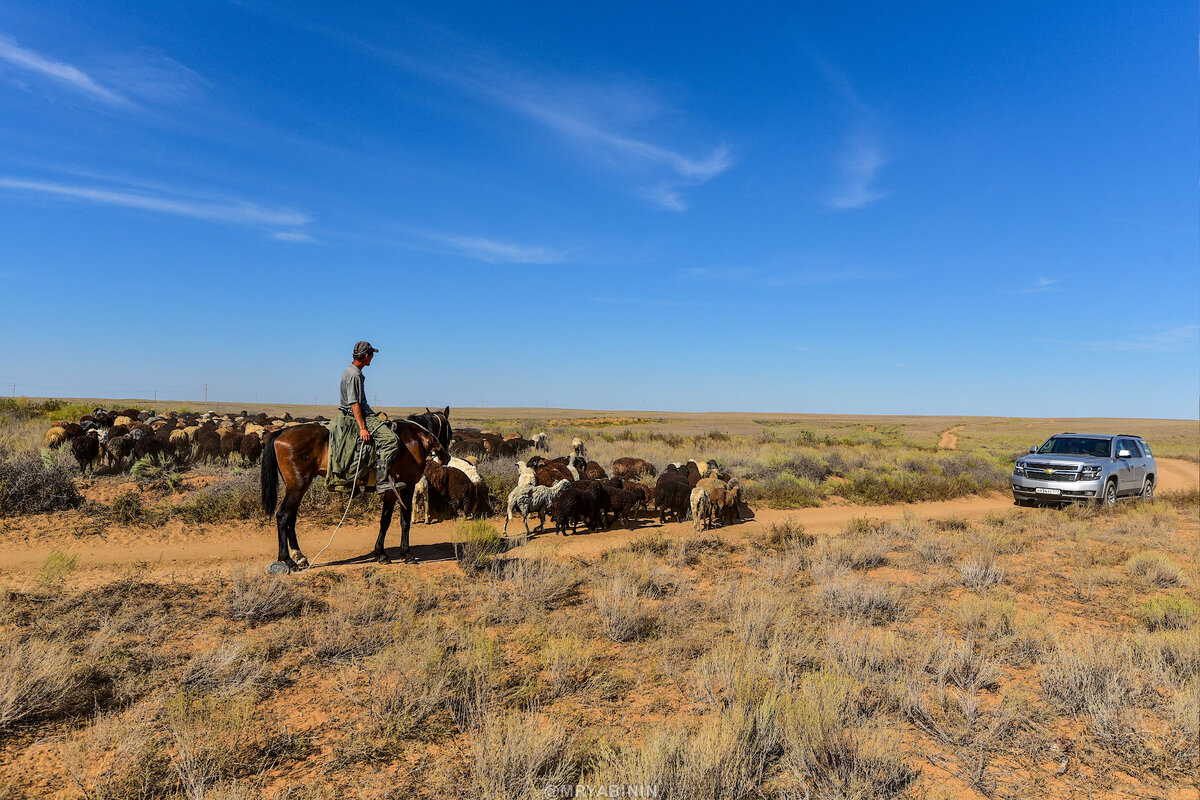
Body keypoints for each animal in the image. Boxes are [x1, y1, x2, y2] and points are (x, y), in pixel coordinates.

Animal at [260, 410, 451, 573]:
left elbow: (385, 521)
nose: (446, 457)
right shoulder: (407, 487)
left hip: (297, 488)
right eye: (449, 431)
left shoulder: (392, 491)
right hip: (297, 487)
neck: (414, 439)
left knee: (291, 518)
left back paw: (299, 557)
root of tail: (280, 434)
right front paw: (407, 554)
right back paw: (287, 560)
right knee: (283, 516)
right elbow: (404, 521)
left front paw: (381, 554)